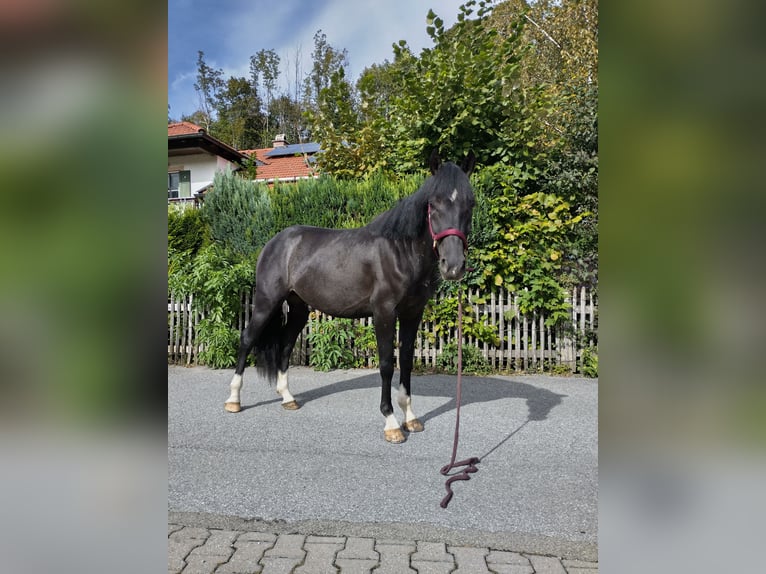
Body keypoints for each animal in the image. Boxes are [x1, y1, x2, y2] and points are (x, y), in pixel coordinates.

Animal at [224, 151, 474, 444]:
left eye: (470, 203)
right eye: (433, 204)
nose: (453, 266)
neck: (400, 251)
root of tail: (276, 242)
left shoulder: (413, 313)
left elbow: (407, 361)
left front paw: (411, 418)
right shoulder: (384, 312)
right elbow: (387, 364)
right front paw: (391, 423)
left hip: (299, 308)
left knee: (285, 344)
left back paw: (288, 398)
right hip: (266, 302)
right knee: (247, 339)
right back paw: (233, 400)